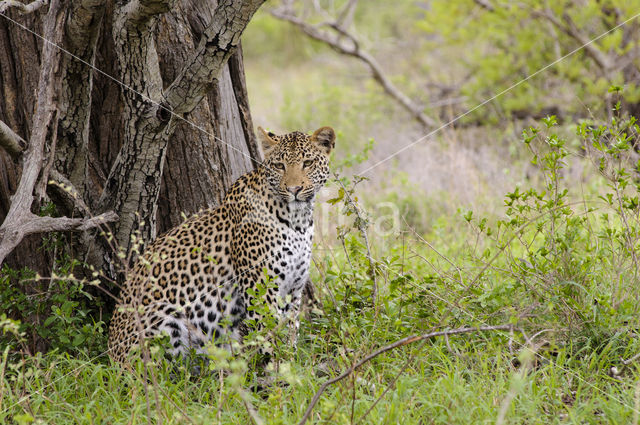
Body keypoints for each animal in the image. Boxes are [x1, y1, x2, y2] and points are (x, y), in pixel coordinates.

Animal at [107, 126, 338, 364]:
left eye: (308, 163)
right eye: (279, 165)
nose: (294, 189)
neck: (298, 221)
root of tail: (112, 357)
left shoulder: (293, 290)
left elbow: (290, 331)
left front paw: (292, 364)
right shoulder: (260, 289)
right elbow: (269, 336)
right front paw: (277, 368)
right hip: (163, 321)